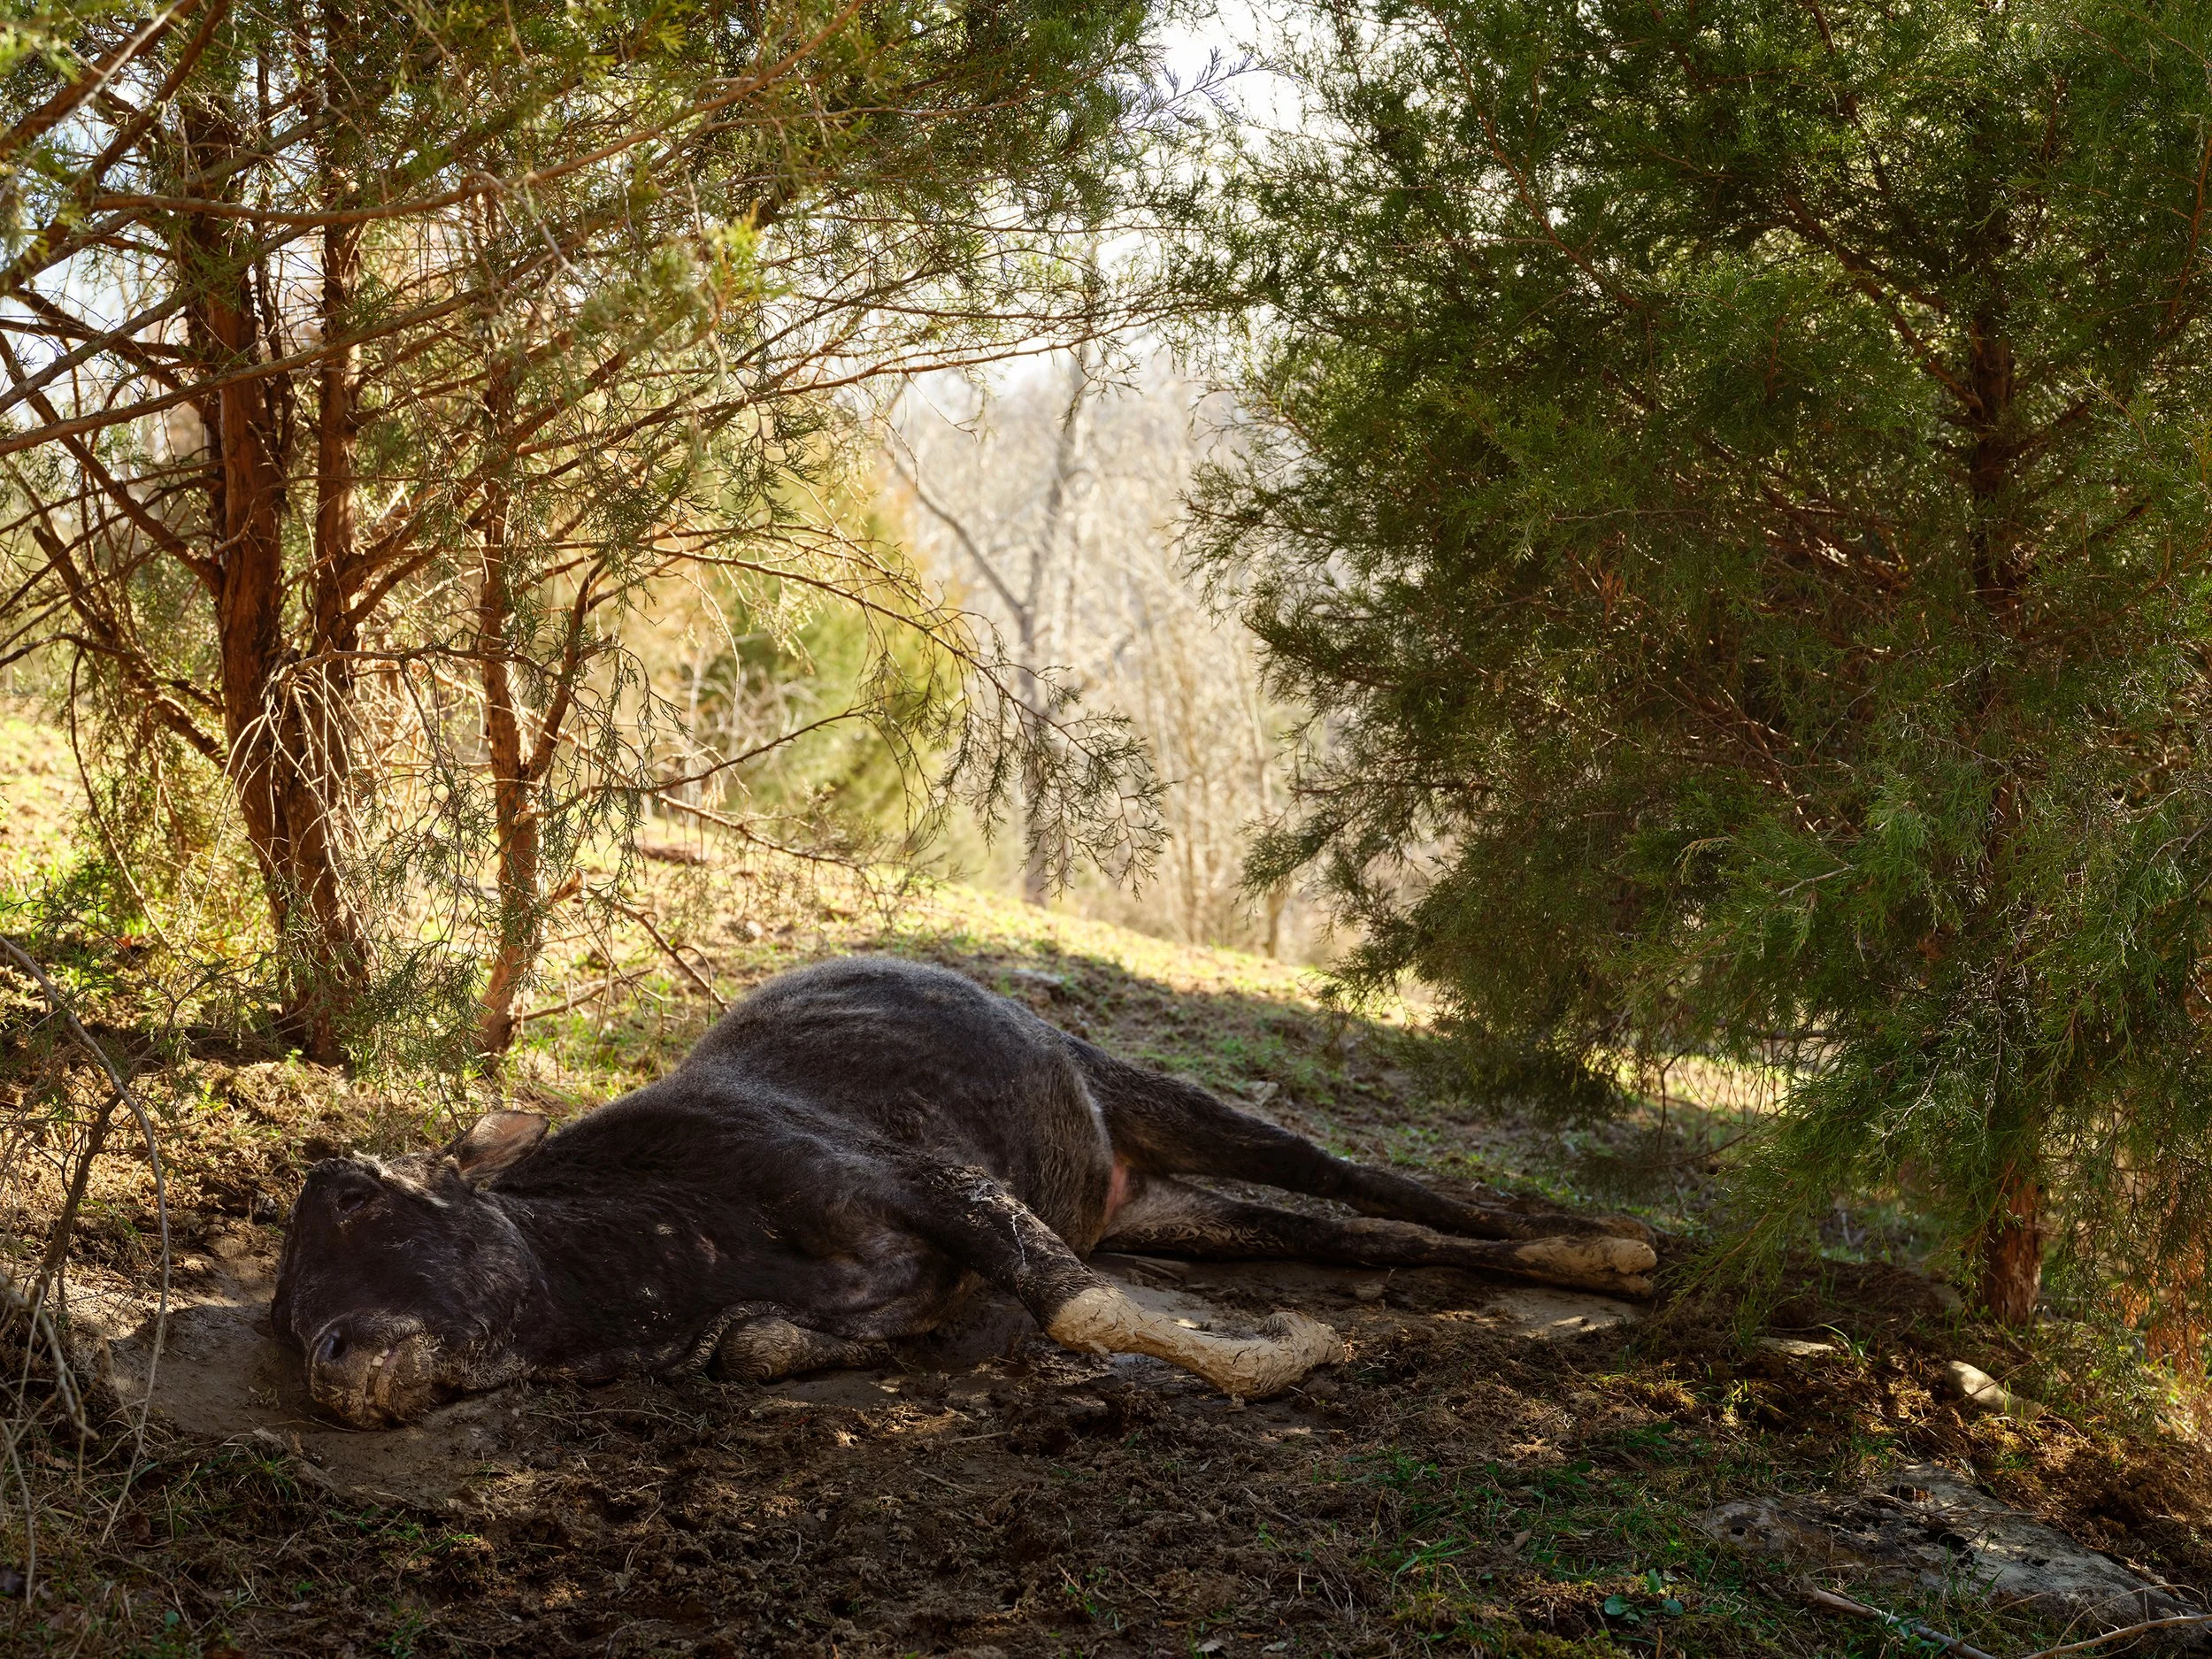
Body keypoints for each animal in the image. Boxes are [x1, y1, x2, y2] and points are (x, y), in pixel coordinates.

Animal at [273, 956, 1657, 1426]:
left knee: (1358, 1176)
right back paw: (1585, 1256)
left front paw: (1284, 1356)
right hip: (1171, 1209)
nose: (332, 1355)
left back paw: (1607, 1242)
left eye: (358, 1197)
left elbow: (1079, 1307)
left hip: (1149, 1089)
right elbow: (773, 1347)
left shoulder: (926, 1176)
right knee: (1336, 1231)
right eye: (280, 1318)